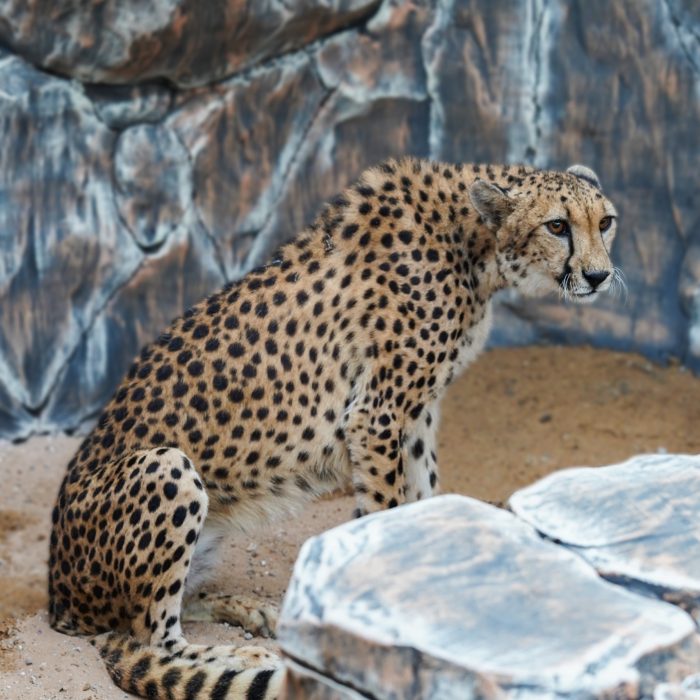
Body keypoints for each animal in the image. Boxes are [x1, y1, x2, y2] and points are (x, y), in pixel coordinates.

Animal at [48, 157, 619, 699]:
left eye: (606, 222)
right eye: (557, 225)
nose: (599, 277)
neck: (476, 244)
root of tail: (58, 603)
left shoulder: (417, 413)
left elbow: (423, 497)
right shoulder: (377, 414)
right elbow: (387, 510)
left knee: (177, 606)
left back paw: (252, 611)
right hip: (166, 464)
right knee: (150, 639)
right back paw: (244, 655)